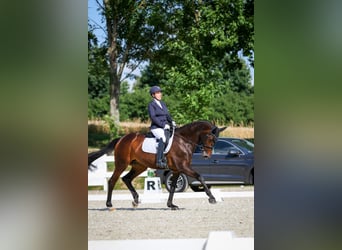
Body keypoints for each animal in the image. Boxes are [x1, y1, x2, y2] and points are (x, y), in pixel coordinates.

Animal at [89, 120, 227, 210]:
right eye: (210, 137)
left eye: (215, 140)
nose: (207, 156)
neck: (184, 141)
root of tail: (121, 139)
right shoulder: (183, 167)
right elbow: (200, 177)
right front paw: (212, 198)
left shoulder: (177, 170)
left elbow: (173, 188)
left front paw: (171, 205)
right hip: (121, 164)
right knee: (113, 180)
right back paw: (109, 204)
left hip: (139, 166)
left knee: (126, 178)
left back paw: (135, 200)